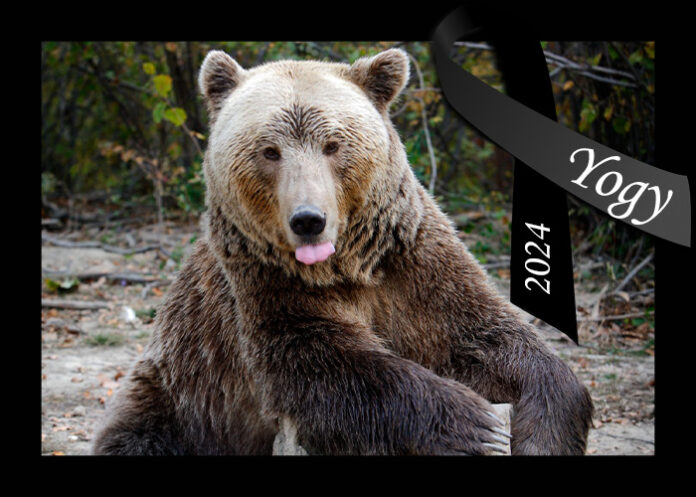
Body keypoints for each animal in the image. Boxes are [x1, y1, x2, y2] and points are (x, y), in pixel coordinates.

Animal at [92, 47, 594, 455]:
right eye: (269, 150)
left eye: (333, 144)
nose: (308, 219)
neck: (348, 264)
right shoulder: (263, 283)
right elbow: (320, 362)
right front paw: (474, 425)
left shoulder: (411, 261)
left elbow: (479, 336)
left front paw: (541, 427)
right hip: (178, 390)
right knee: (142, 434)